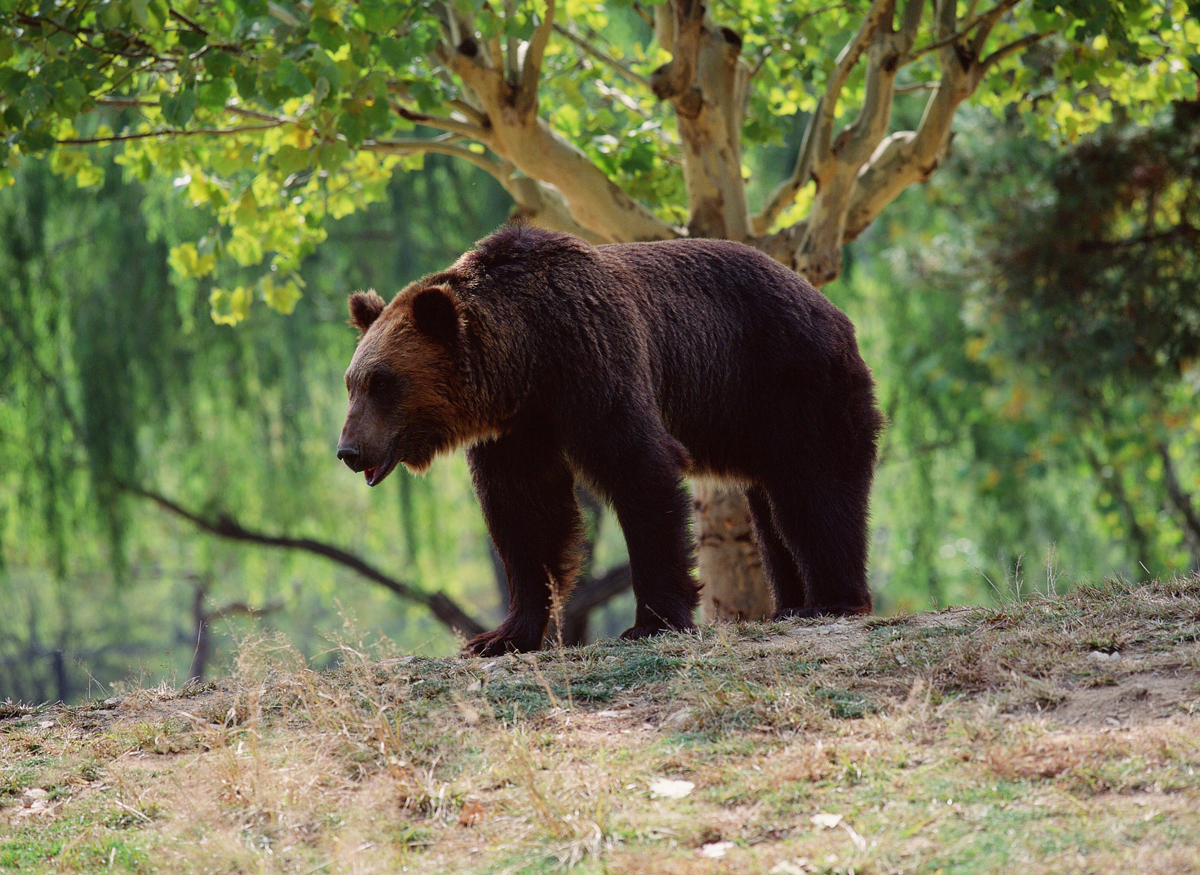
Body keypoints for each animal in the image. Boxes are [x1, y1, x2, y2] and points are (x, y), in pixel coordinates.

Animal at [338, 225, 883, 652]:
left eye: (382, 382)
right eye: (352, 382)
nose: (348, 451)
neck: (528, 356)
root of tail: (831, 307)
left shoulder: (594, 358)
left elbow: (639, 470)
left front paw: (653, 620)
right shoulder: (516, 426)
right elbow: (525, 512)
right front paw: (500, 636)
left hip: (791, 380)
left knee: (815, 487)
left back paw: (830, 600)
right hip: (750, 420)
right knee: (771, 504)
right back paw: (788, 604)